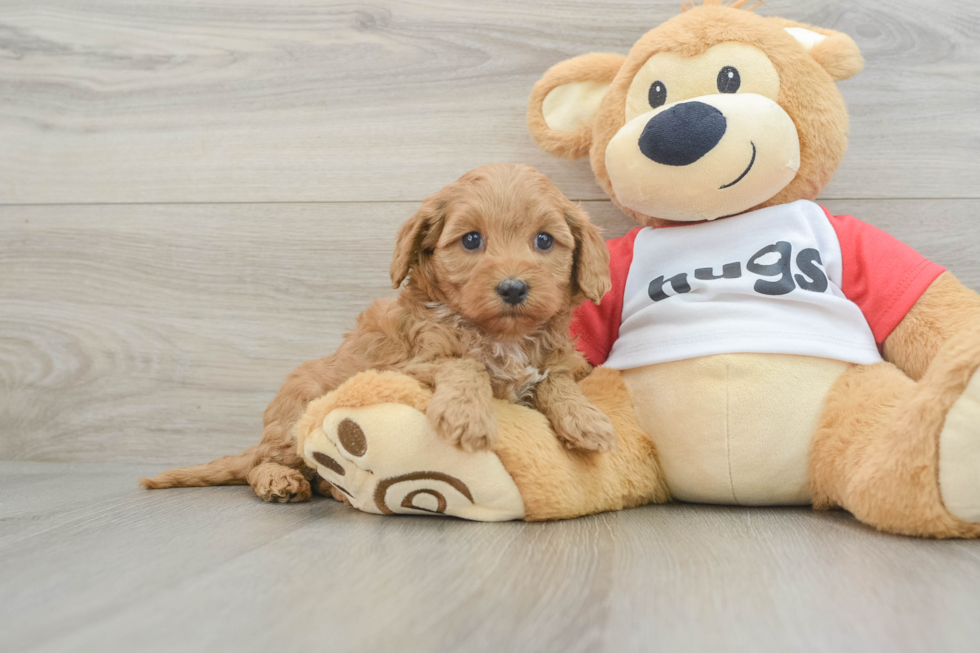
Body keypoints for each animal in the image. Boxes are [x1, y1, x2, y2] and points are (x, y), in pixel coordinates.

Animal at [140, 163, 612, 500]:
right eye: (471, 240)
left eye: (544, 241)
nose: (513, 288)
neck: (501, 336)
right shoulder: (406, 366)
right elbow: (465, 365)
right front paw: (467, 414)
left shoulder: (555, 361)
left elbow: (556, 379)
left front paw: (586, 419)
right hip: (299, 409)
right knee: (266, 462)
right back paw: (281, 481)